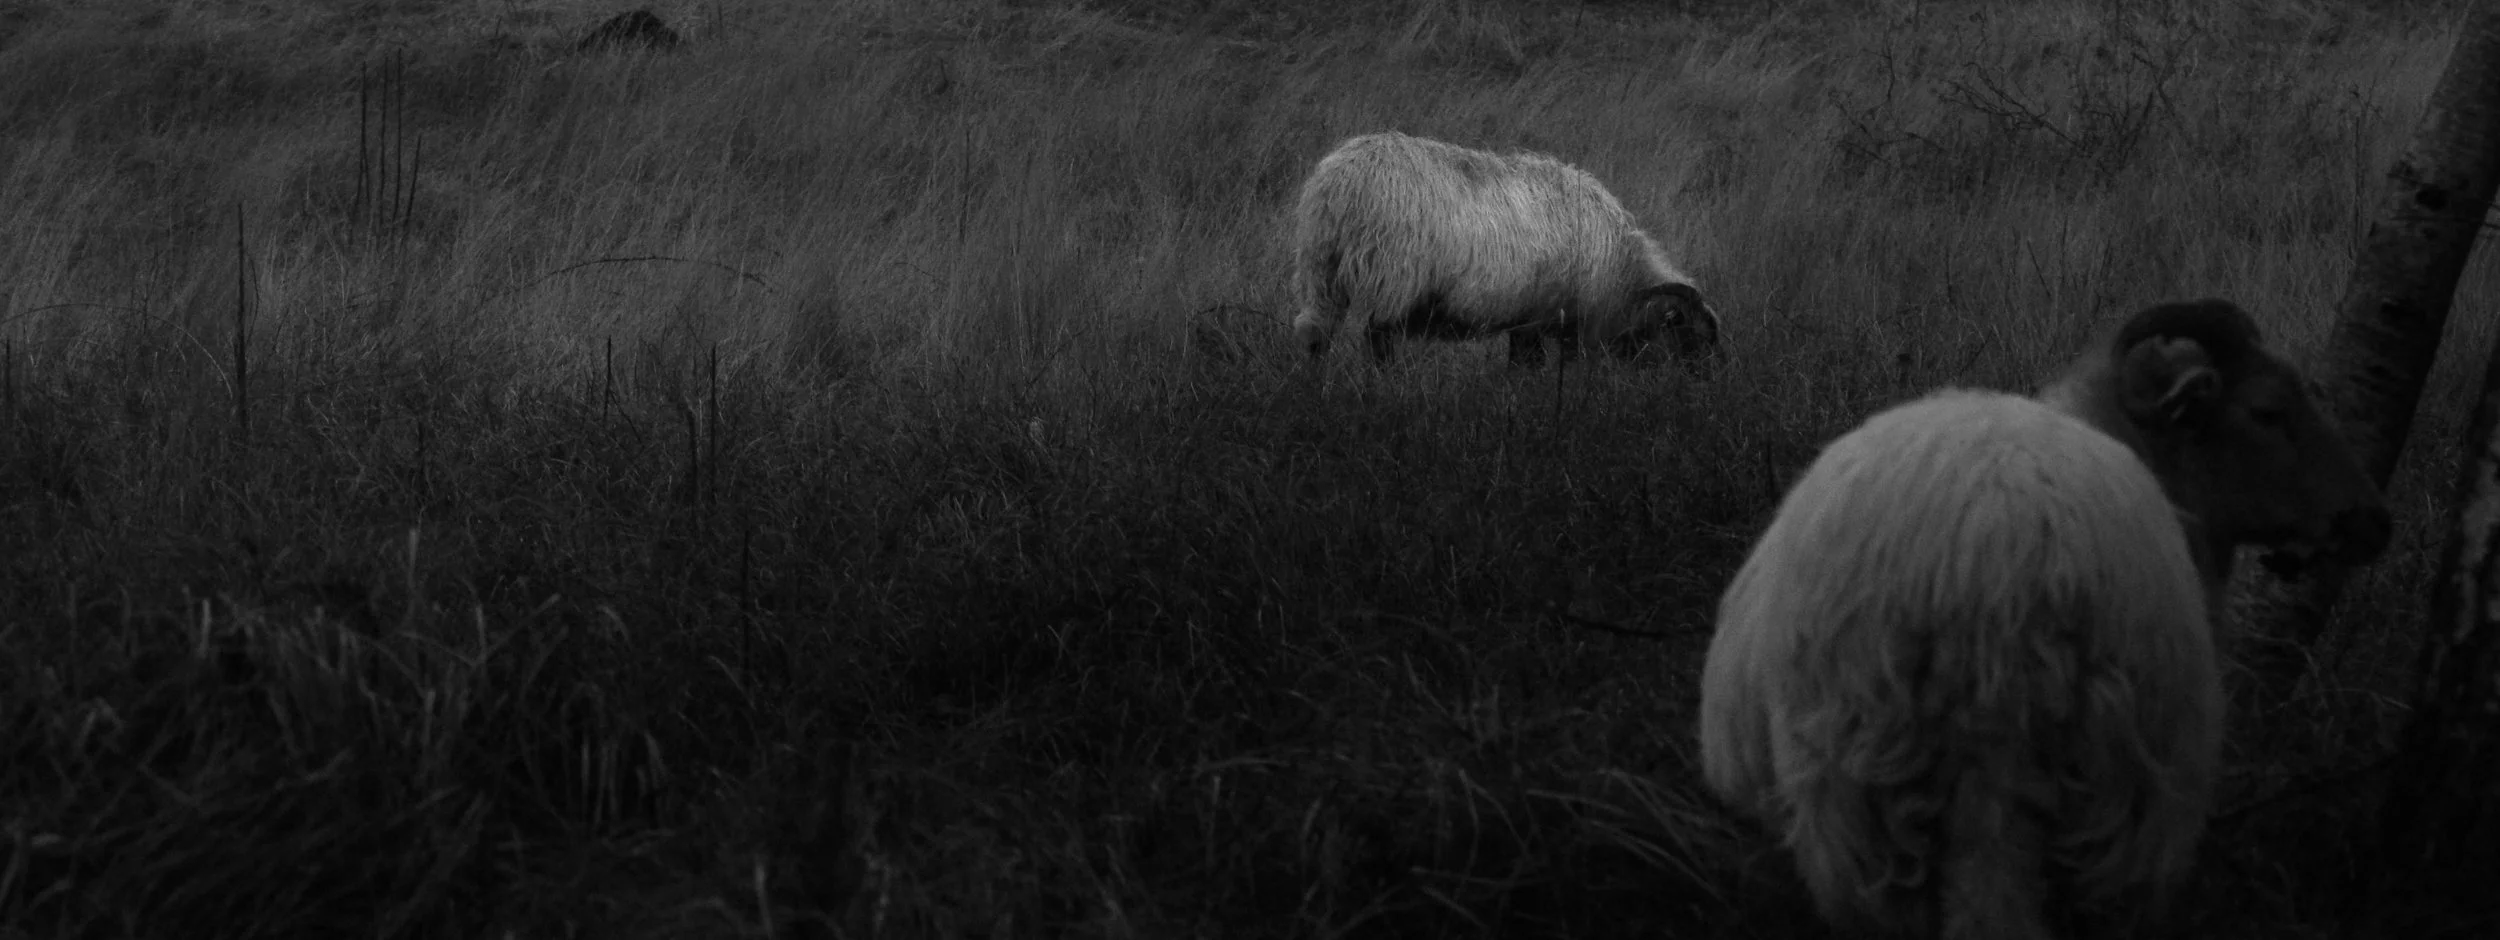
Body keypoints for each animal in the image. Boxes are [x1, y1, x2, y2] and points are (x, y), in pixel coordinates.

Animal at [1287, 131, 1721, 368]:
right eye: (1690, 339)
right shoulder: (1538, 318)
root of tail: (1345, 180)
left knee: (1314, 333)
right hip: (1392, 278)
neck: (1619, 271)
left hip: (1320, 267)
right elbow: (1528, 367)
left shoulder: (1525, 318)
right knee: (1377, 343)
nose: (1701, 390)